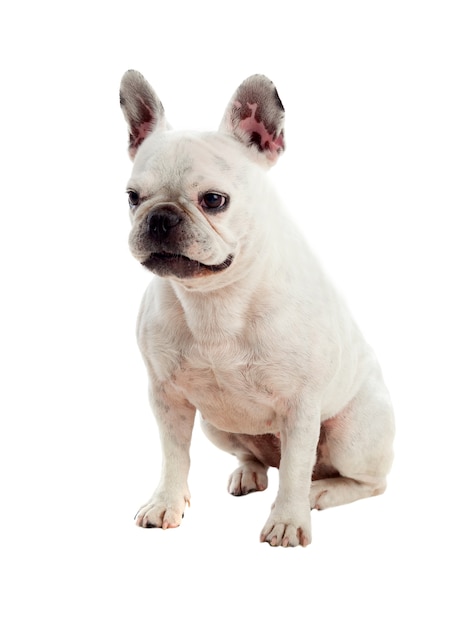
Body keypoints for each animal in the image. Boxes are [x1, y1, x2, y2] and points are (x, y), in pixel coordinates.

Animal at [119, 69, 396, 544]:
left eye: (214, 200)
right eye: (133, 197)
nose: (160, 217)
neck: (214, 297)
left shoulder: (301, 407)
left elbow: (296, 469)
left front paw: (287, 521)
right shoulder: (167, 398)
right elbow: (175, 456)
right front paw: (166, 503)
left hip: (350, 435)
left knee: (362, 480)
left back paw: (323, 491)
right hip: (216, 425)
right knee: (259, 459)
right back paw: (249, 471)